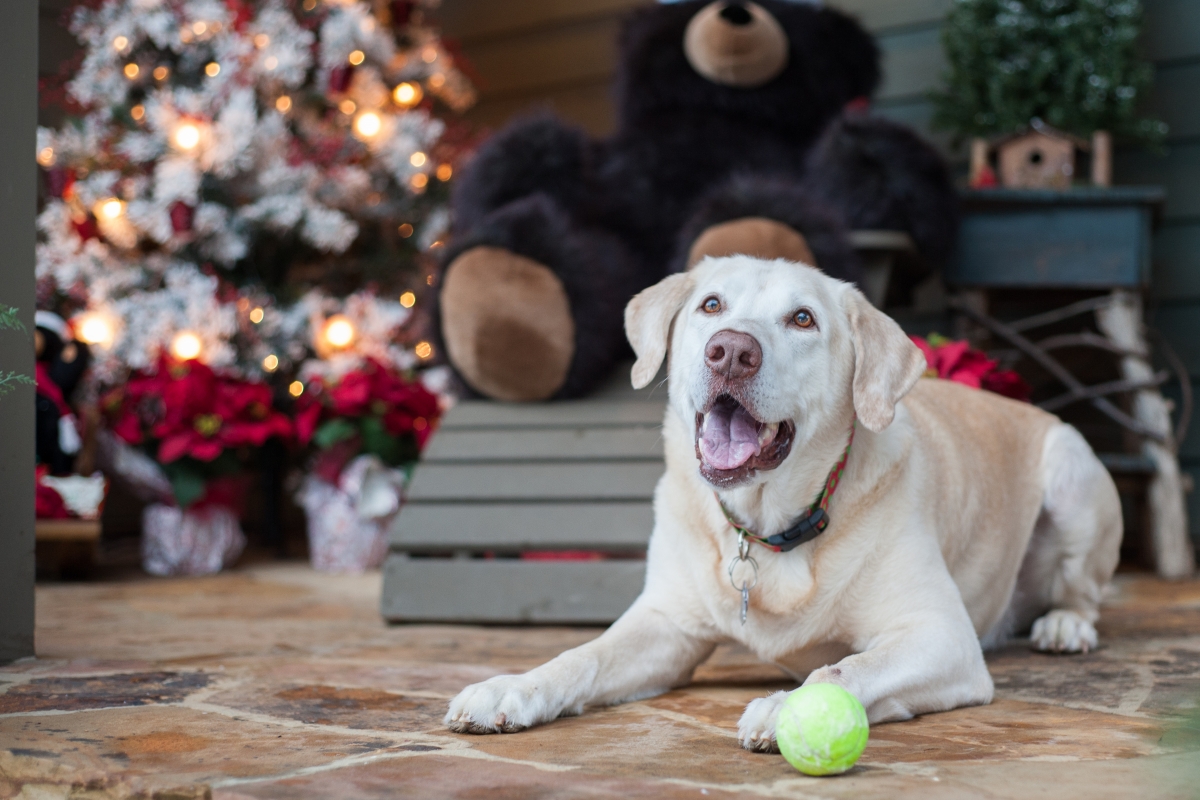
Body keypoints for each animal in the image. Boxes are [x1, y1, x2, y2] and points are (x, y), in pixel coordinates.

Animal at [444, 256, 1123, 753]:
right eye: (711, 305)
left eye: (802, 319)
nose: (731, 351)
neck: (768, 526)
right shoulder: (665, 625)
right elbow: (581, 655)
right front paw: (511, 688)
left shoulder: (942, 636)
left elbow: (845, 669)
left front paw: (791, 706)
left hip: (1073, 474)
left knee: (1082, 590)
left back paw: (1064, 625)